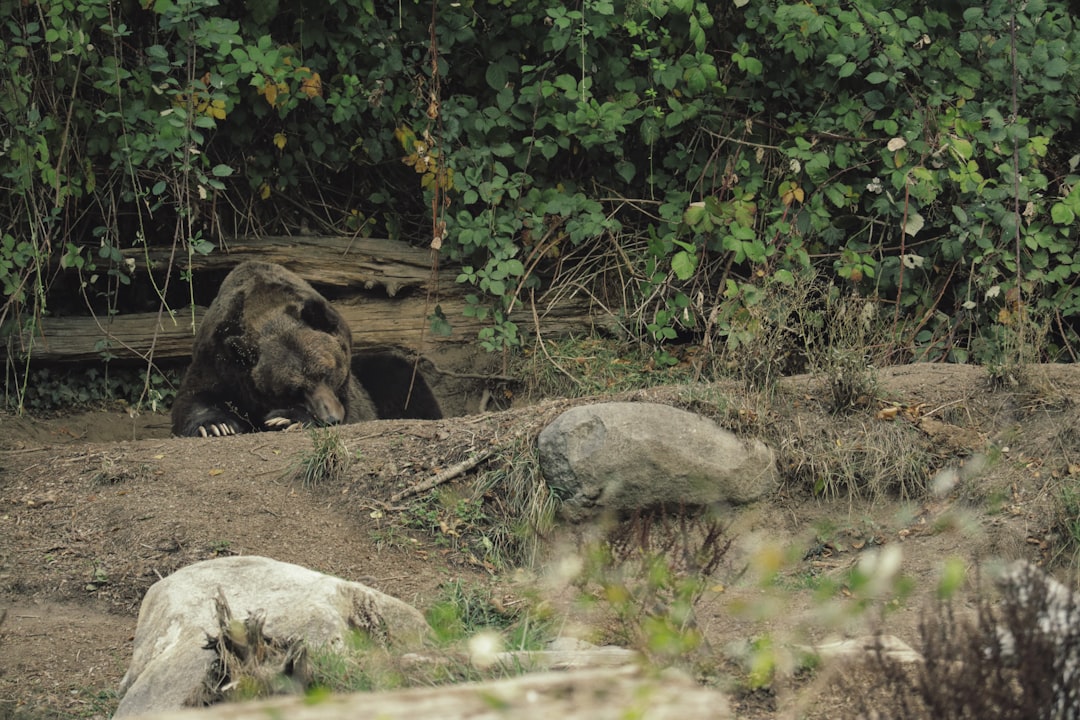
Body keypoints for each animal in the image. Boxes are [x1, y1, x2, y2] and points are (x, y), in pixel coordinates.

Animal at [170, 260, 378, 436]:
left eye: (327, 373)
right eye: (294, 391)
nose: (331, 419)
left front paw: (286, 419)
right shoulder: (217, 360)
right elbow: (193, 397)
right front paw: (216, 426)